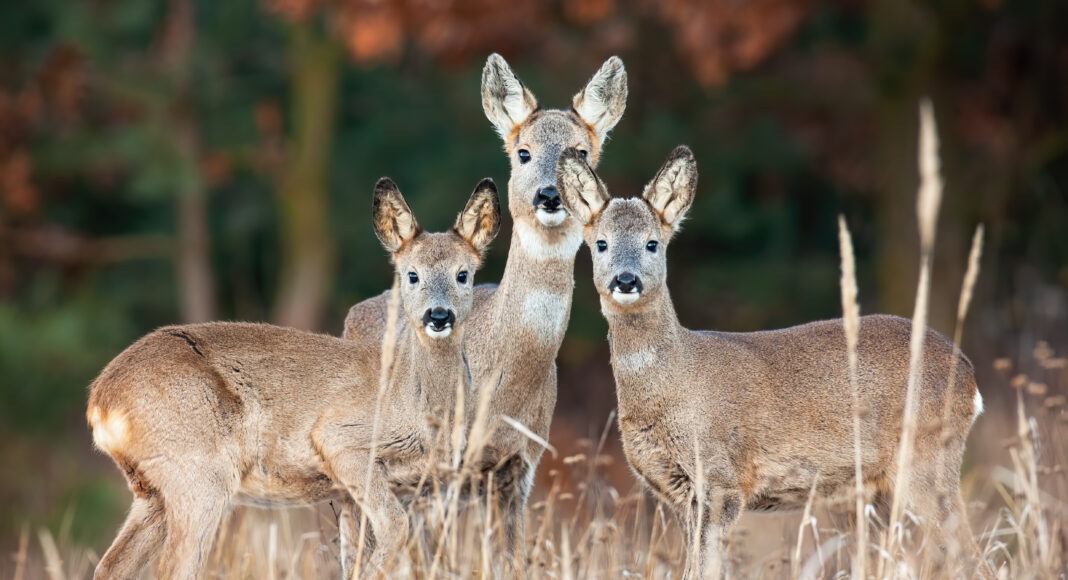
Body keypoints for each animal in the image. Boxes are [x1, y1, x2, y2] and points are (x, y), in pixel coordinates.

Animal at [87, 179, 499, 576]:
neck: (414, 400)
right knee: (173, 567)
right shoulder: (340, 440)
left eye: (463, 275)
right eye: (411, 275)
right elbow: (394, 530)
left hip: (151, 490)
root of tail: (99, 403)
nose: (439, 316)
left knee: (111, 565)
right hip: (197, 473)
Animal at [341, 53, 623, 563]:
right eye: (523, 152)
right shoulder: (443, 468)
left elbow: (511, 560)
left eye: (582, 153)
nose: (549, 196)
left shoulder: (521, 465)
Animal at [555, 148, 986, 580]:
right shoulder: (678, 493)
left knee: (970, 553)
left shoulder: (721, 480)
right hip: (877, 488)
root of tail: (969, 374)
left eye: (652, 244)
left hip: (928, 457)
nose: (626, 281)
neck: (677, 383)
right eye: (601, 244)